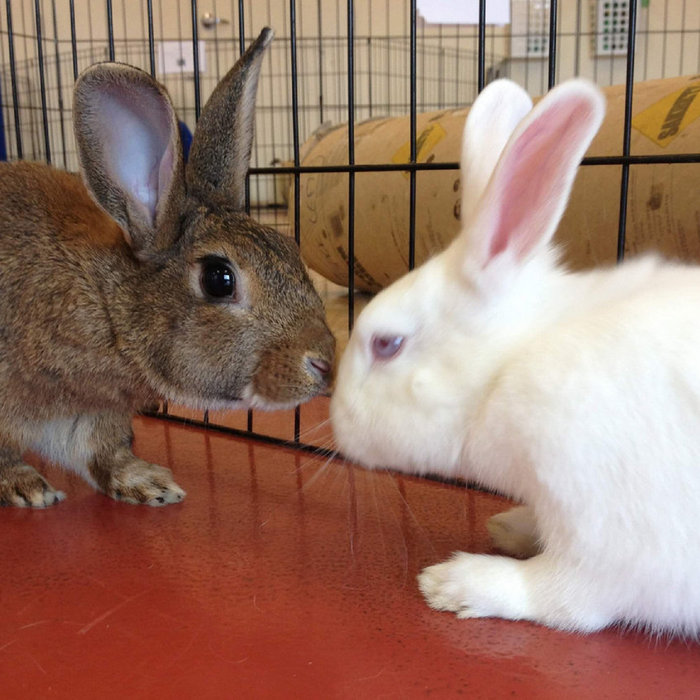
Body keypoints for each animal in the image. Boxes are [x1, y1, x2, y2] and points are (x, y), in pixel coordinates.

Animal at [0, 27, 334, 508]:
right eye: (219, 279)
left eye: (290, 247)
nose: (327, 363)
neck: (111, 308)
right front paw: (27, 488)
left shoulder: (92, 413)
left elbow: (102, 451)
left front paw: (148, 484)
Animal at [331, 76, 700, 637]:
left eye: (386, 344)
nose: (336, 424)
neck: (505, 370)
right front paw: (511, 526)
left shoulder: (606, 536)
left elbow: (562, 596)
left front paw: (456, 583)